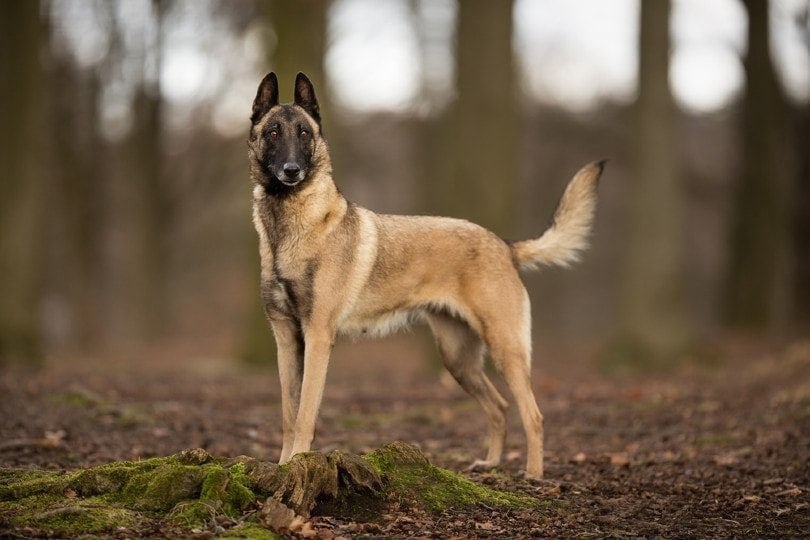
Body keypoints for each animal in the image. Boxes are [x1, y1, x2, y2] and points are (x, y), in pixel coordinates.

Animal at [249, 70, 604, 476]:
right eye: (273, 132)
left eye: (304, 133)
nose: (291, 171)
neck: (290, 225)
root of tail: (504, 245)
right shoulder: (286, 339)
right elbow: (288, 415)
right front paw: (282, 467)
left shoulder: (318, 337)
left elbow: (306, 414)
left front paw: (298, 463)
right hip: (457, 359)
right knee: (499, 407)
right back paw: (490, 463)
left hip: (505, 349)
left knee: (533, 414)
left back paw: (532, 475)